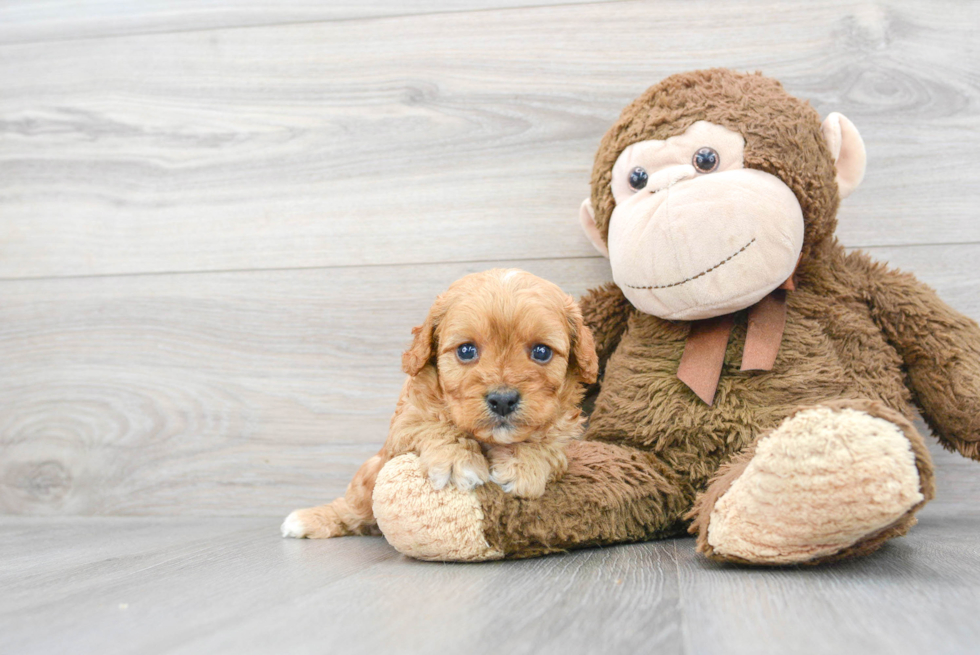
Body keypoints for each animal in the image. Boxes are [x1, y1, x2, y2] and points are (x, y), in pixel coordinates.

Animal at [278, 270, 596, 540]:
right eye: (466, 350)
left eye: (541, 352)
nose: (503, 400)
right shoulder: (404, 424)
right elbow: (434, 426)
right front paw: (458, 461)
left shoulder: (565, 435)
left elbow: (547, 442)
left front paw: (525, 464)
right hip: (367, 479)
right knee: (351, 509)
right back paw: (307, 520)